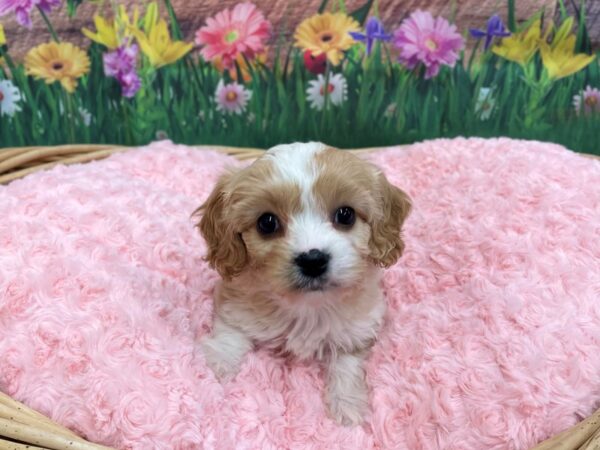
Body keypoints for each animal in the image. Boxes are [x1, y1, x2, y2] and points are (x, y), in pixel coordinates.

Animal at [195, 142, 410, 426]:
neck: (307, 305)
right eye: (267, 222)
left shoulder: (359, 327)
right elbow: (232, 332)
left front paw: (347, 406)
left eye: (346, 215)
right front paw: (216, 363)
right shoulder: (235, 301)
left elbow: (346, 364)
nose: (313, 260)